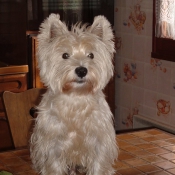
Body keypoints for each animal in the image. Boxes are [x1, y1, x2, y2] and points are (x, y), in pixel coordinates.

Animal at [30, 14, 117, 175]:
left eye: (91, 55)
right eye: (65, 55)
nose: (81, 70)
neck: (76, 98)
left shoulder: (99, 143)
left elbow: (99, 165)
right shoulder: (53, 145)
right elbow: (54, 166)